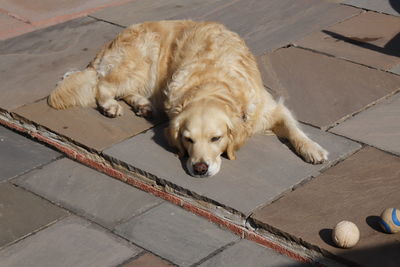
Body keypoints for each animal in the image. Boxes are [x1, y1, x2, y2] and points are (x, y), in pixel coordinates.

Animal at [47, 20, 328, 178]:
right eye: (188, 140)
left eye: (216, 138)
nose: (200, 168)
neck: (213, 84)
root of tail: (106, 47)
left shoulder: (270, 108)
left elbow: (294, 128)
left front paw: (313, 149)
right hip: (142, 61)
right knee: (103, 84)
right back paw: (110, 106)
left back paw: (142, 105)